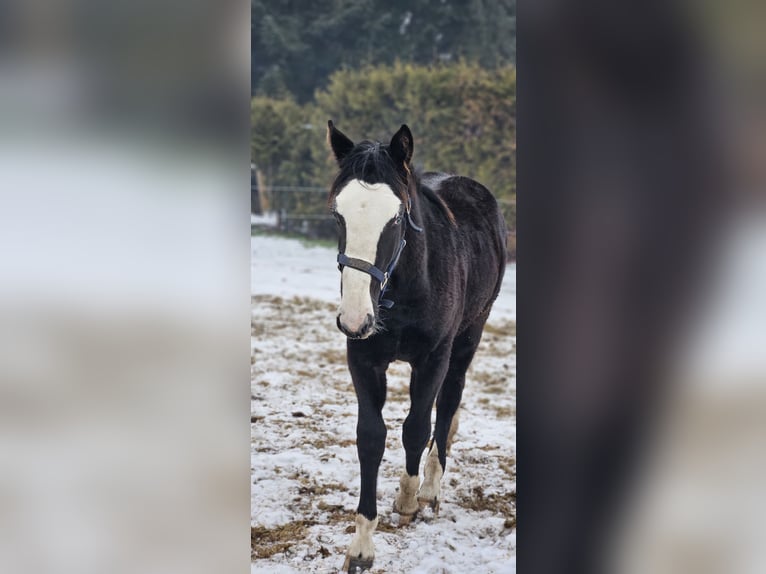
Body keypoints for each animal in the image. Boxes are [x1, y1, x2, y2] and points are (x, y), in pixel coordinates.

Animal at [326, 121, 507, 572]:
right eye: (337, 213)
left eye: (396, 217)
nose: (354, 318)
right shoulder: (364, 360)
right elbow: (371, 436)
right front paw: (362, 545)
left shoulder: (432, 359)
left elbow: (416, 427)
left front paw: (409, 500)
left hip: (468, 339)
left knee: (448, 403)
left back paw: (430, 488)